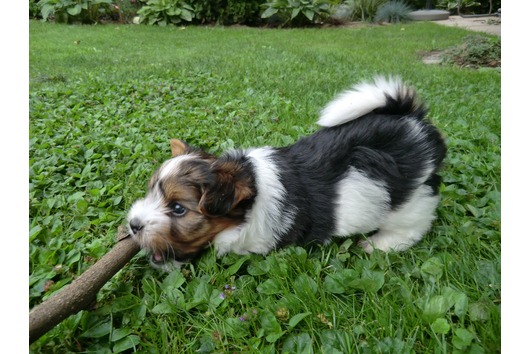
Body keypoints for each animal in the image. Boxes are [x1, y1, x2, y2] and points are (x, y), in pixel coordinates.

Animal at [127, 75, 446, 268]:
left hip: (410, 199)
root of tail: (410, 121)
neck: (251, 181)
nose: (133, 224)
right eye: (150, 192)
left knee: (414, 223)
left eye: (178, 209)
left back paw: (380, 244)